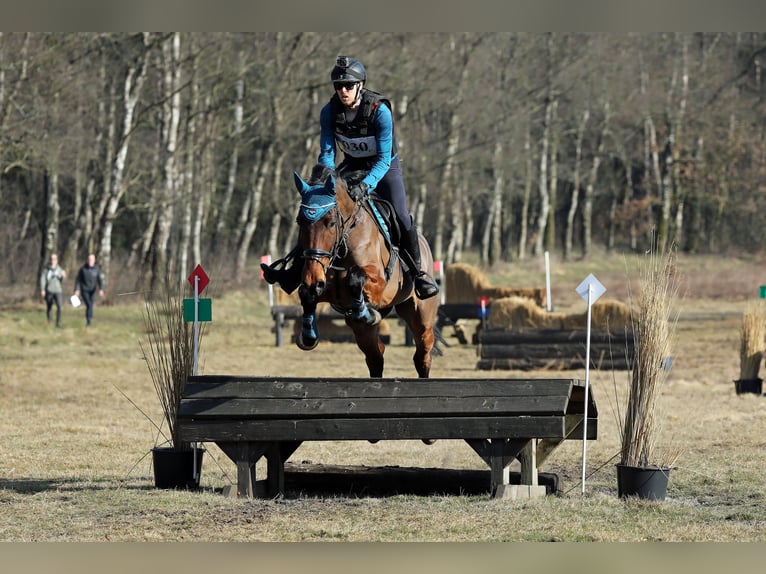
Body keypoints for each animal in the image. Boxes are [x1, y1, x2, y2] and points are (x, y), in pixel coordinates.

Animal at [292, 164, 438, 380]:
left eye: (331, 222)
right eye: (300, 222)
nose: (313, 277)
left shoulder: (378, 284)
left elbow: (355, 278)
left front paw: (364, 311)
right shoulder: (323, 284)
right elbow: (307, 293)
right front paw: (309, 334)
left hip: (421, 317)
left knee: (422, 354)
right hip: (363, 332)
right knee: (376, 356)